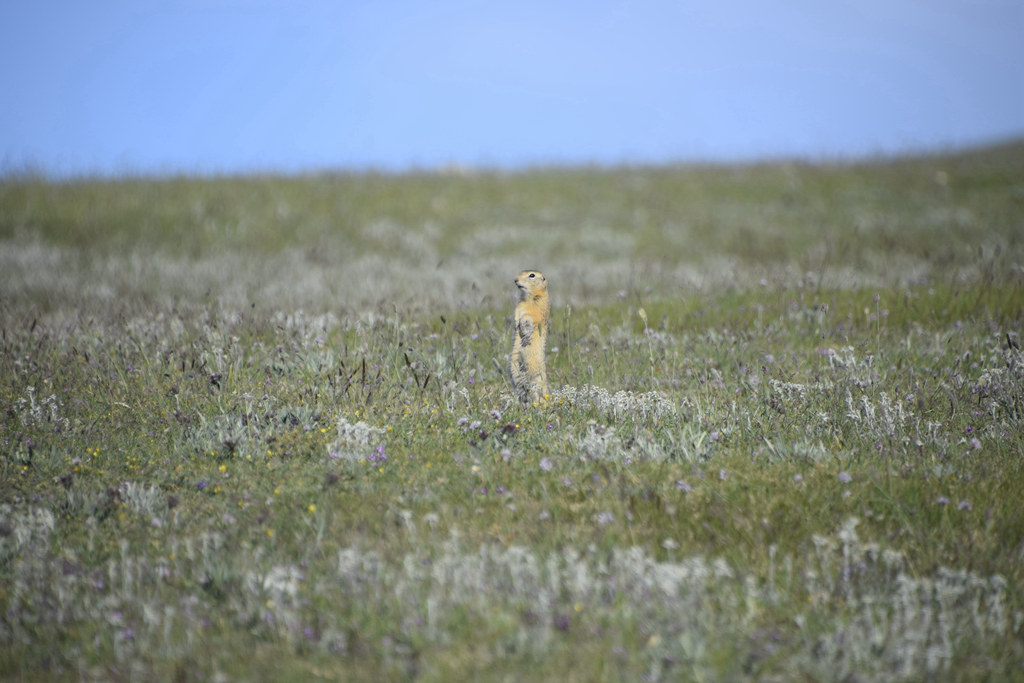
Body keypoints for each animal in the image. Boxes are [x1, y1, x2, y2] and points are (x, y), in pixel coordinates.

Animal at [507, 268, 548, 405]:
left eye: (532, 275)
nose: (515, 280)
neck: (528, 296)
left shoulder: (539, 304)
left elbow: (531, 316)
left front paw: (523, 323)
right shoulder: (519, 306)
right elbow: (517, 313)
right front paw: (516, 324)